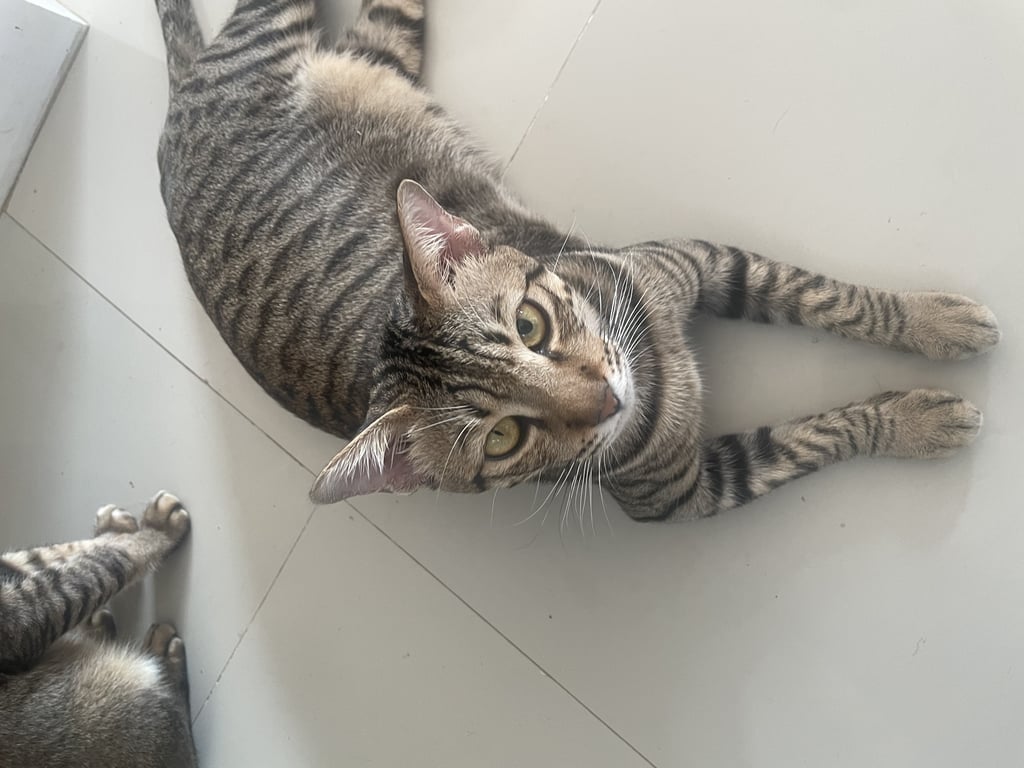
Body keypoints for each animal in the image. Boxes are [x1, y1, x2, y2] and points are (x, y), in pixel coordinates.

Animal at [0, 491, 197, 768]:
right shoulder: (22, 618)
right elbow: (106, 564)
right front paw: (158, 529)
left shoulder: (15, 570)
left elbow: (55, 553)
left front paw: (112, 530)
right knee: (179, 735)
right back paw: (162, 655)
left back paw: (97, 630)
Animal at [154, 0, 1000, 521]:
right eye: (502, 439)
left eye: (530, 325)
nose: (606, 402)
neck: (656, 372)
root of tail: (179, 101)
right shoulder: (695, 490)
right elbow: (822, 435)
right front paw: (917, 418)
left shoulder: (703, 258)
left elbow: (829, 299)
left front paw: (932, 321)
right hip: (374, 42)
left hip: (353, 37)